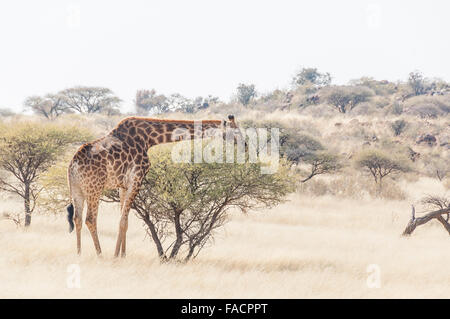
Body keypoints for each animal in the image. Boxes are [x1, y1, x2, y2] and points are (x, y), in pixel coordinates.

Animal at [66, 115, 239, 258]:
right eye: (237, 131)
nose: (243, 144)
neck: (148, 139)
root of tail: (74, 164)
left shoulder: (123, 185)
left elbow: (124, 220)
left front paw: (122, 255)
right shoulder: (137, 179)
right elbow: (123, 221)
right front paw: (116, 257)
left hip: (77, 189)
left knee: (77, 219)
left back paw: (79, 254)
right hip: (94, 188)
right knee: (90, 219)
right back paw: (100, 255)